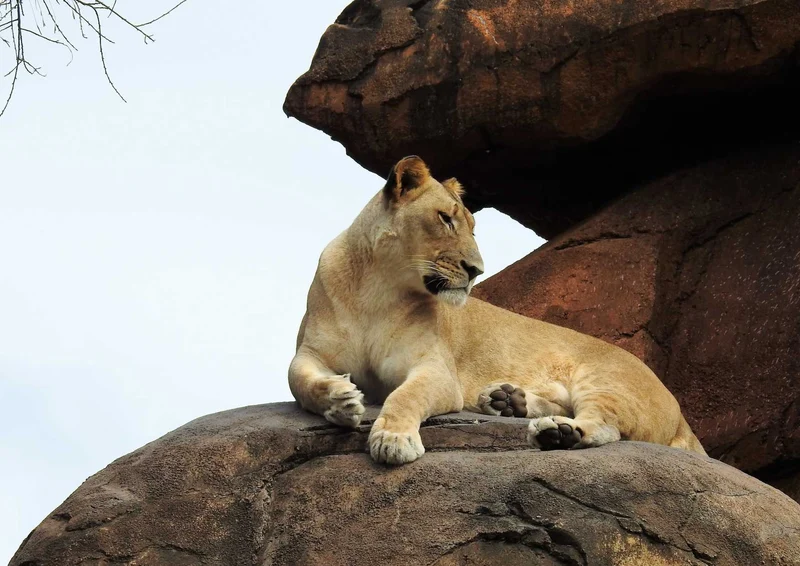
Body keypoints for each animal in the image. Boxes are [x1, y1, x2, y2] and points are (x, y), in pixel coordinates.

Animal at [288, 156, 705, 464]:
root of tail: (681, 413)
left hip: (607, 381)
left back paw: (557, 432)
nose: (477, 270)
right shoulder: (310, 353)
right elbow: (301, 382)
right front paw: (340, 400)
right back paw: (507, 401)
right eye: (445, 218)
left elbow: (405, 395)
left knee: (605, 424)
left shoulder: (437, 371)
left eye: (471, 226)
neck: (377, 288)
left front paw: (393, 438)